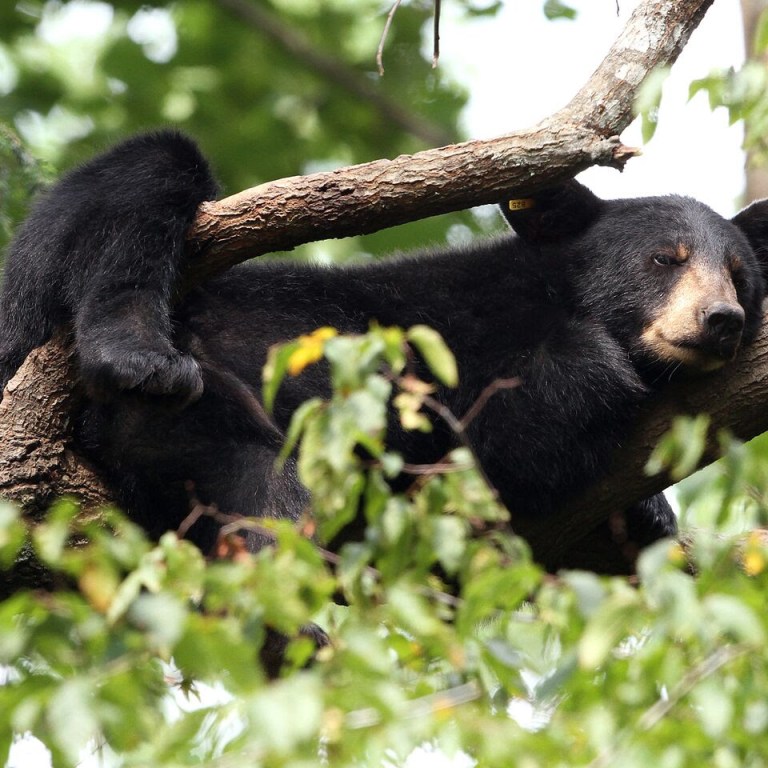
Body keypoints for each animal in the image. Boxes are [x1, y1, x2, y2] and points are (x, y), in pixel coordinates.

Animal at [1, 130, 767, 579]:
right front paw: (600, 377)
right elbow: (501, 432)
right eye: (663, 259)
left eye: (739, 274)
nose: (720, 319)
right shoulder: (464, 335)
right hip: (43, 303)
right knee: (150, 168)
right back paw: (139, 356)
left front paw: (650, 515)